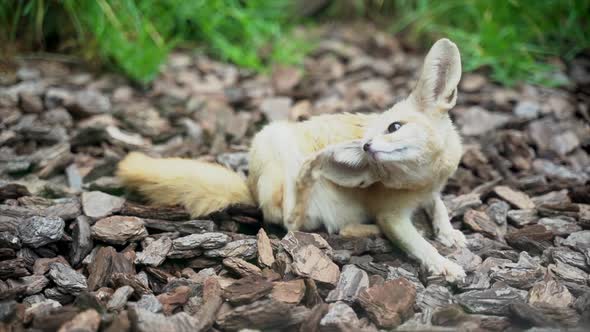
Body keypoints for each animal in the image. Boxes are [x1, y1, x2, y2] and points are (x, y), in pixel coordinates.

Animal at [118, 40, 470, 282]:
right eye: (366, 141)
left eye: (394, 127)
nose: (366, 146)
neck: (422, 181)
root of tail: (250, 186)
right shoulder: (391, 216)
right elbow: (419, 244)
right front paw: (444, 263)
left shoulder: (433, 190)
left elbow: (439, 205)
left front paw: (448, 232)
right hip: (279, 145)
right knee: (292, 220)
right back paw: (314, 174)